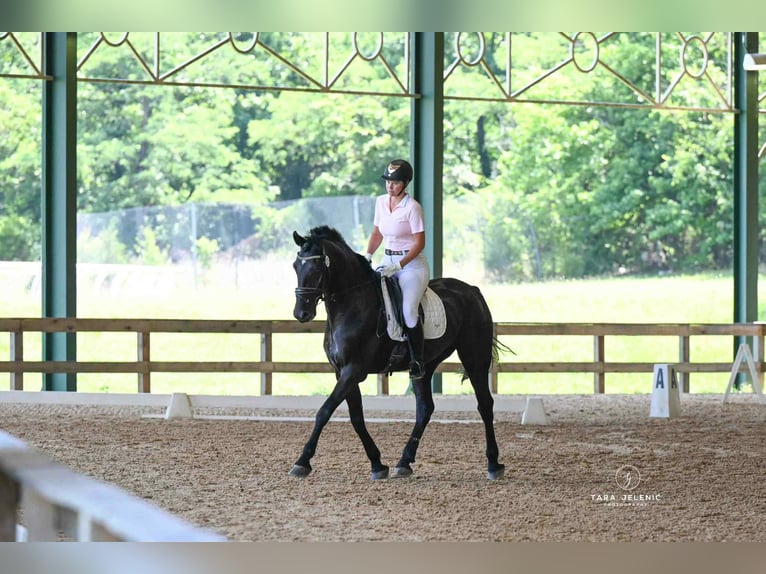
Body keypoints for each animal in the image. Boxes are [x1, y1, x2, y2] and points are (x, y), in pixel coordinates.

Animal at [289, 225, 505, 481]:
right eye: (295, 266)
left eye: (317, 267)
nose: (301, 313)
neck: (351, 303)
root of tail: (472, 291)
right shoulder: (341, 371)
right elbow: (356, 417)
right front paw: (377, 464)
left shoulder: (353, 370)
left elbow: (325, 411)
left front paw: (302, 462)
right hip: (425, 365)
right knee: (425, 408)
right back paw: (404, 462)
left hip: (474, 358)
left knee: (485, 404)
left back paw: (493, 464)